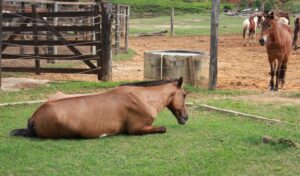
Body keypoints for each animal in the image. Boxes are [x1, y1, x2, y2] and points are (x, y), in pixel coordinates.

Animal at [10, 77, 189, 138]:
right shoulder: (136, 128)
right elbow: (163, 128)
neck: (143, 97)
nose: (186, 117)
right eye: (185, 94)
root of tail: (35, 117)